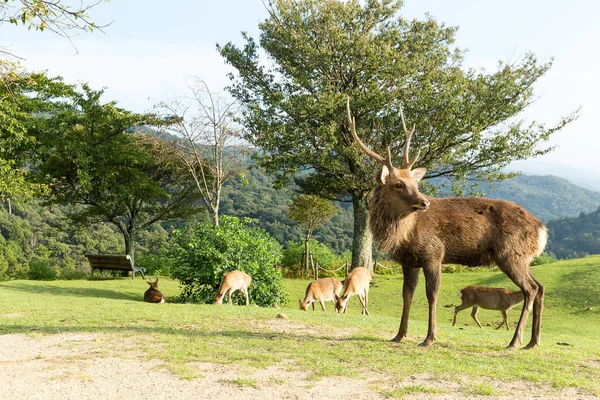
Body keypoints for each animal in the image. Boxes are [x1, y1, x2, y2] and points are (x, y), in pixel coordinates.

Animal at [346, 98, 548, 348]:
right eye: (398, 184)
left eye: (415, 182)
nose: (424, 202)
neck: (404, 235)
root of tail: (542, 229)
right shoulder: (409, 261)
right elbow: (407, 295)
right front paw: (399, 334)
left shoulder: (433, 253)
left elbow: (432, 294)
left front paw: (429, 338)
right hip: (523, 258)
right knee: (540, 286)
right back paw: (533, 341)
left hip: (511, 254)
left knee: (531, 288)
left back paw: (515, 341)